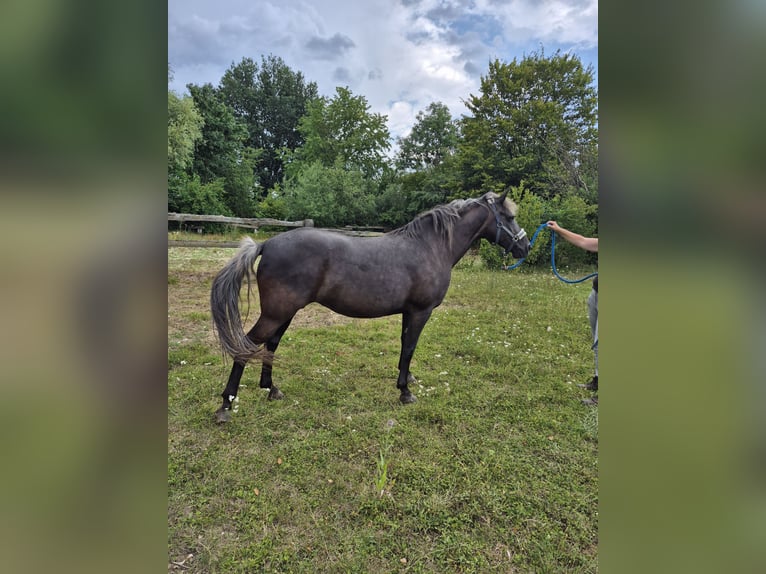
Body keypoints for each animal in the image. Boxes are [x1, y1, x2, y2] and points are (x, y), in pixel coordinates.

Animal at [210, 190, 529, 422]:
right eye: (509, 216)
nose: (525, 247)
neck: (431, 247)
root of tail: (266, 244)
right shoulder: (420, 311)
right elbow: (410, 347)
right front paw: (405, 392)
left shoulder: (408, 312)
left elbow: (404, 347)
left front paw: (407, 379)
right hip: (276, 313)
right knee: (247, 345)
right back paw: (226, 405)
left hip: (283, 313)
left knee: (271, 345)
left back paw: (271, 389)